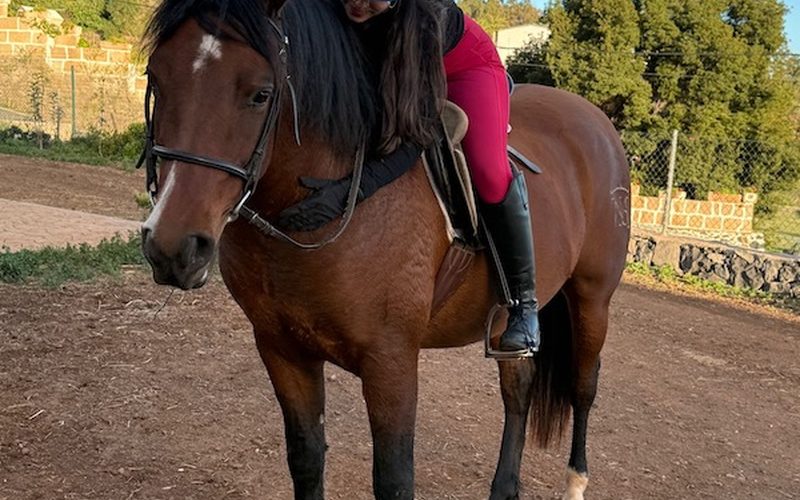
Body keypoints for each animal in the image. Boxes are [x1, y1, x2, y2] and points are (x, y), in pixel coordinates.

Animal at [139, 0, 630, 498]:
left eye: (261, 94)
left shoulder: (390, 363)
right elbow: (307, 459)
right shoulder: (281, 350)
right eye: (156, 78)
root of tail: (595, 120)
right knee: (518, 387)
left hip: (592, 299)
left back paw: (575, 482)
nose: (174, 246)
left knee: (584, 384)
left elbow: (394, 479)